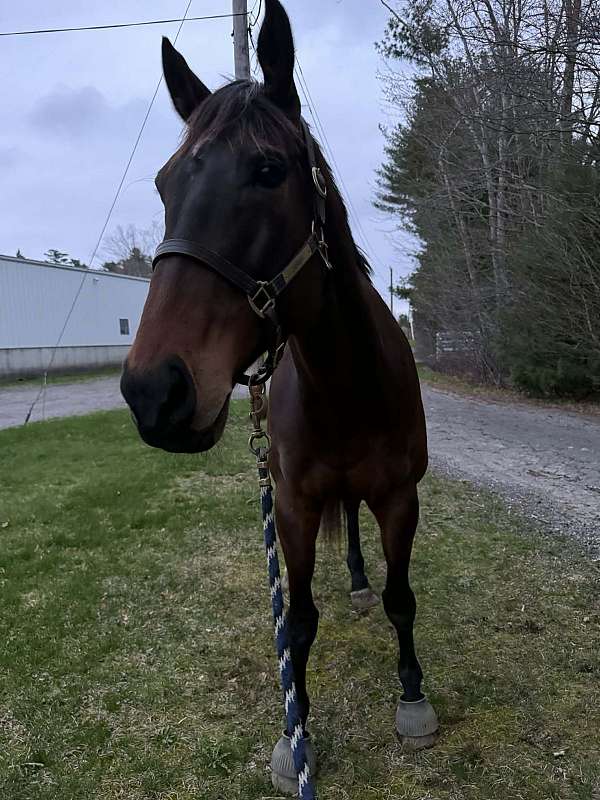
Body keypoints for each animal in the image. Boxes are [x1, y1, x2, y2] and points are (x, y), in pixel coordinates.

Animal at [121, 0, 439, 791]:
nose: (153, 391)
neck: (346, 383)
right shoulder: (291, 503)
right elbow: (295, 621)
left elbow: (401, 597)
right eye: (165, 185)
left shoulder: (401, 497)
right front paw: (297, 735)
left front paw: (412, 696)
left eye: (268, 171)